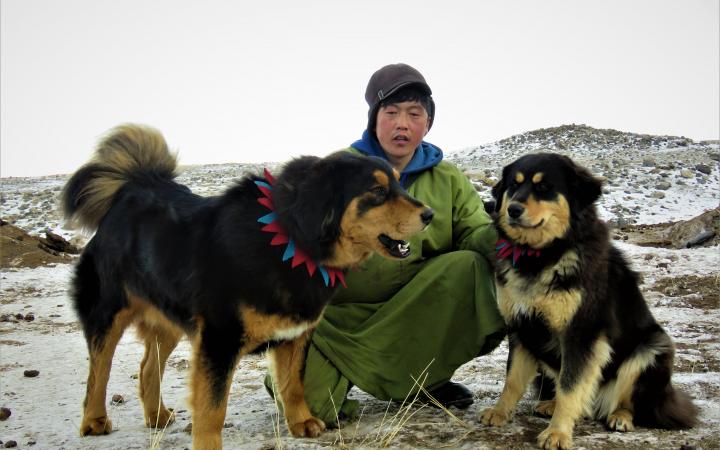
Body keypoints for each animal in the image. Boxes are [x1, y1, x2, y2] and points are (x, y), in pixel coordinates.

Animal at [62, 124, 434, 450]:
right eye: (377, 191)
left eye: (399, 184)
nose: (430, 214)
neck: (292, 243)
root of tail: (132, 188)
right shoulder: (218, 339)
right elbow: (212, 408)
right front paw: (208, 446)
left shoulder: (295, 334)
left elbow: (293, 384)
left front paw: (301, 421)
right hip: (108, 312)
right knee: (99, 371)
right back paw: (94, 420)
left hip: (169, 317)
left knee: (147, 367)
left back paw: (156, 416)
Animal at [478, 153, 696, 448]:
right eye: (514, 184)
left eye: (544, 187)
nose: (512, 209)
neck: (542, 256)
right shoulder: (521, 327)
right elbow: (512, 379)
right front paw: (500, 412)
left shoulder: (581, 334)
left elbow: (570, 386)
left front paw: (558, 433)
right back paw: (551, 404)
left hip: (652, 348)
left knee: (628, 401)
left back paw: (620, 416)